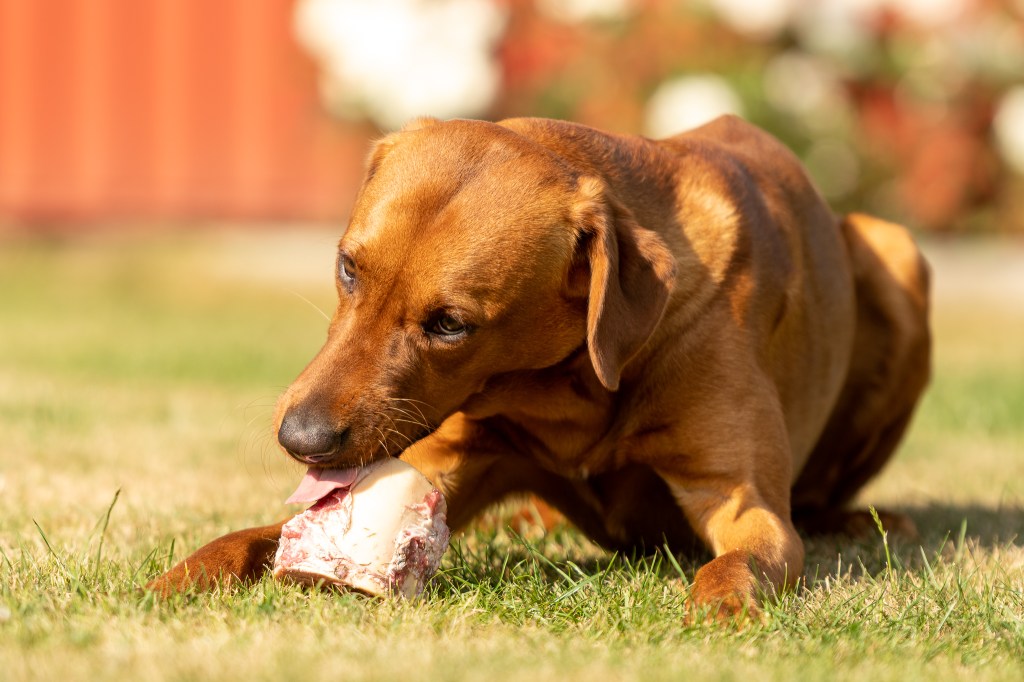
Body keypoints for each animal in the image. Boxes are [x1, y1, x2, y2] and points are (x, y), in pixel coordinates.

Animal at [147, 115, 930, 617]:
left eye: (451, 324)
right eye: (347, 269)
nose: (300, 439)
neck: (568, 389)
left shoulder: (741, 500)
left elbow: (736, 561)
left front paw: (719, 609)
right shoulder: (447, 464)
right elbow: (252, 537)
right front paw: (184, 576)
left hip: (897, 254)